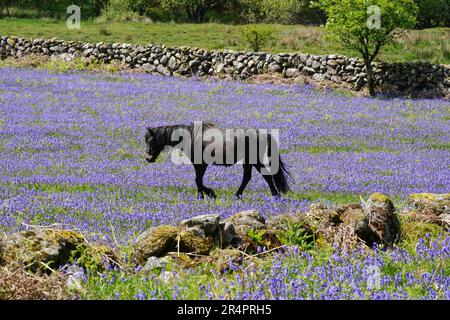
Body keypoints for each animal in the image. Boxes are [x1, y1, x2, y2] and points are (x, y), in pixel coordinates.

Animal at [145, 122, 292, 198]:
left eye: (150, 140)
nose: (148, 158)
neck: (191, 136)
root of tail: (261, 134)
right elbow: (198, 180)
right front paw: (208, 195)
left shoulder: (200, 164)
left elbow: (198, 180)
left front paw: (207, 195)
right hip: (248, 162)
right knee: (248, 178)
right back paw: (238, 195)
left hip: (254, 160)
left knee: (265, 176)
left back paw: (275, 195)